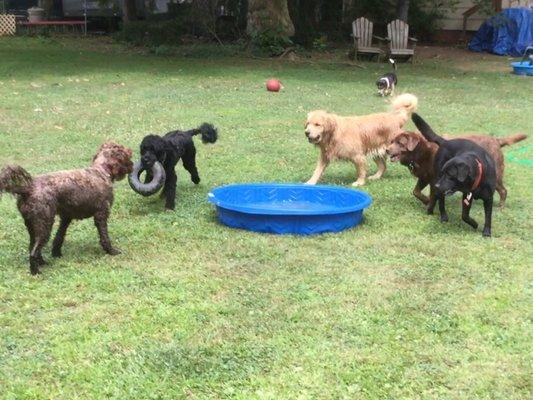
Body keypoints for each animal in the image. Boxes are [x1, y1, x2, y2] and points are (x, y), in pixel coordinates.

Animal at [0, 141, 132, 276]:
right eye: (128, 154)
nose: (132, 165)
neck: (101, 171)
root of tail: (28, 189)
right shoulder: (101, 214)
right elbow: (104, 237)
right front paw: (111, 251)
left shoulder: (66, 217)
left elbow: (59, 237)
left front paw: (56, 253)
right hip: (44, 225)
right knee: (34, 251)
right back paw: (36, 271)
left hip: (32, 226)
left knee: (32, 247)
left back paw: (42, 263)